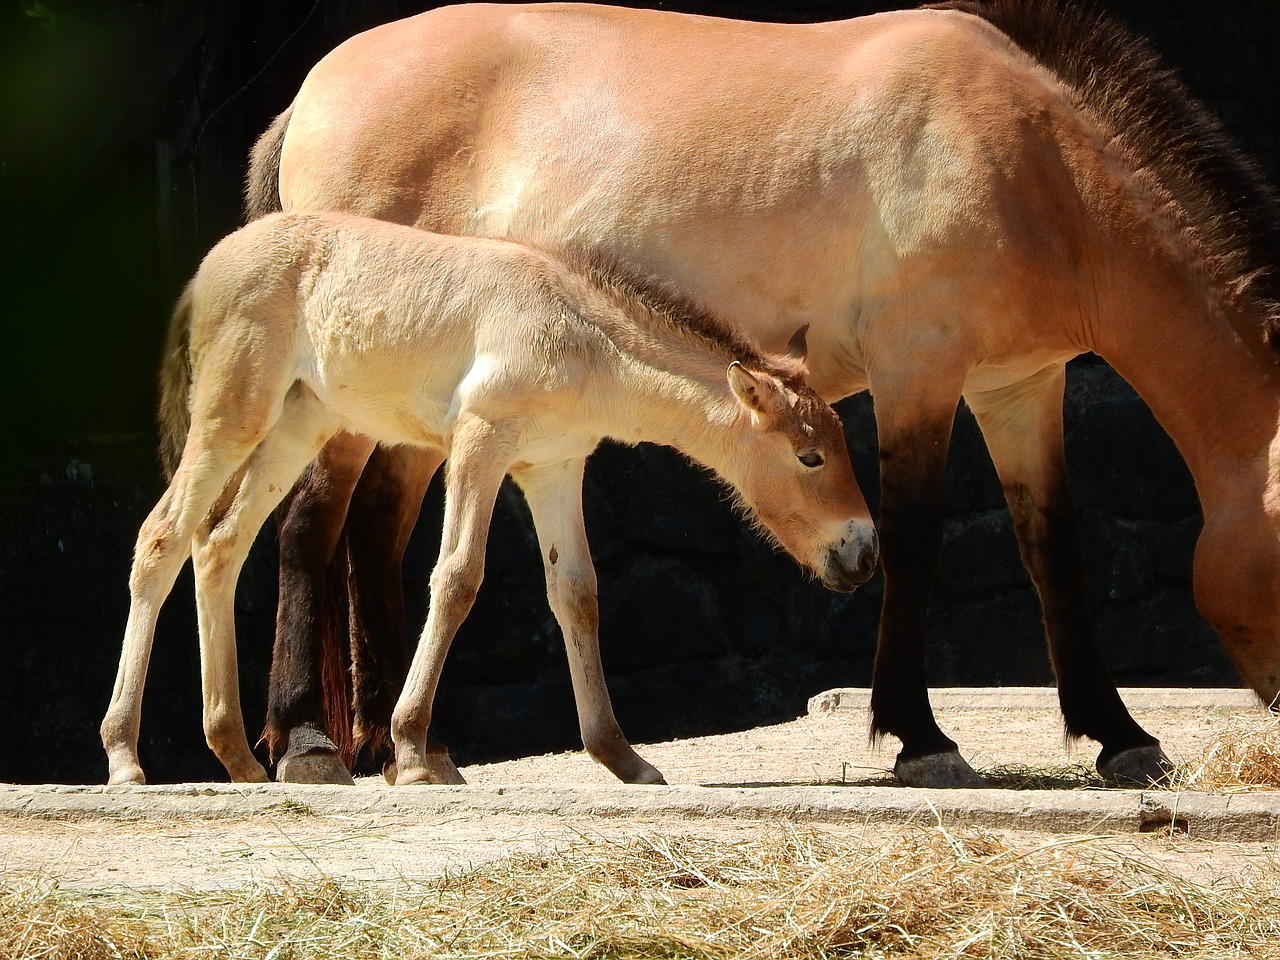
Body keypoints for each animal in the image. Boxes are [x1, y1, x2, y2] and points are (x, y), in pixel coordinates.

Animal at [247, 0, 1280, 788]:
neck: (1028, 162)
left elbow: (1053, 550)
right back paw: (310, 744)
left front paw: (1121, 736)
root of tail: (311, 91)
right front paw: (921, 738)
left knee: (373, 536)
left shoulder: (1019, 388)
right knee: (308, 529)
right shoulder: (919, 375)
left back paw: (403, 744)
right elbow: (913, 544)